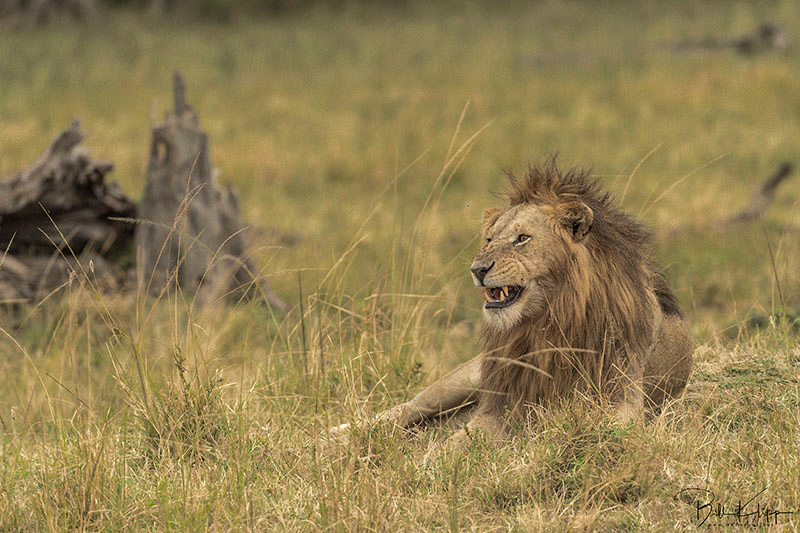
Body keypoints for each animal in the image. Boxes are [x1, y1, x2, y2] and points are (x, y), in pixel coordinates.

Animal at [328, 158, 692, 448]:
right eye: (489, 239)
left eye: (522, 238)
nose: (477, 269)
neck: (550, 322)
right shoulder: (500, 405)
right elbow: (452, 445)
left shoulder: (623, 400)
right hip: (465, 378)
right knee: (407, 408)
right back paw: (338, 434)